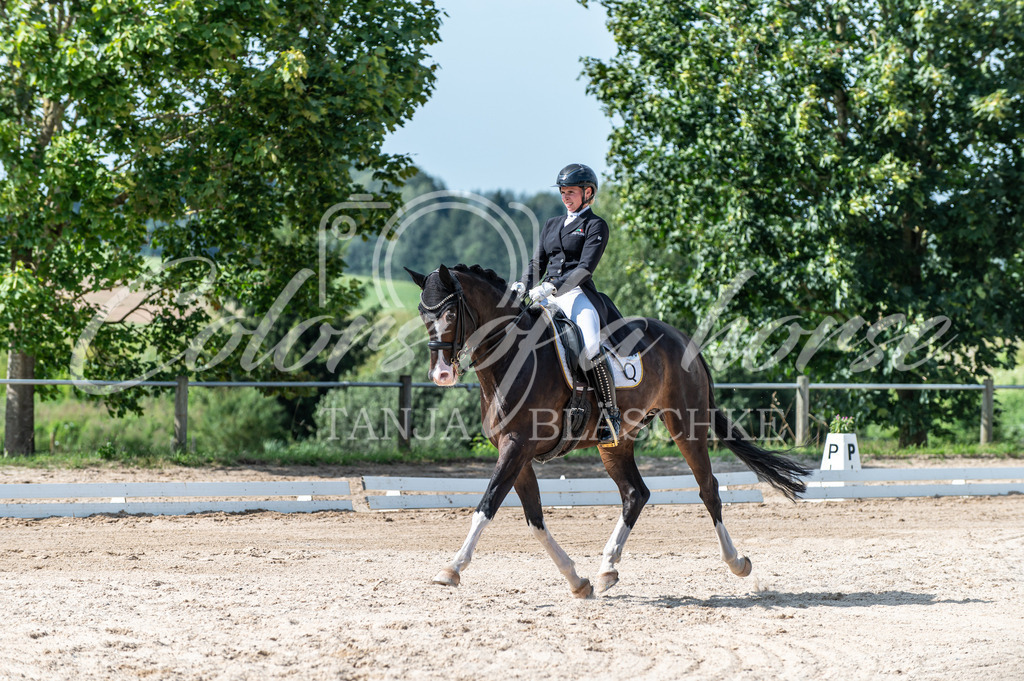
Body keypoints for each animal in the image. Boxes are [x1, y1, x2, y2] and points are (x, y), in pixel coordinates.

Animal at [405, 262, 806, 598]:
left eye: (450, 312)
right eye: (423, 314)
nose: (441, 374)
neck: (514, 359)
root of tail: (682, 338)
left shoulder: (517, 446)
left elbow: (487, 505)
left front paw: (451, 569)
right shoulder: (516, 451)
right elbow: (534, 518)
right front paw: (576, 580)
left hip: (686, 424)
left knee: (708, 489)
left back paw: (737, 563)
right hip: (615, 440)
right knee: (635, 494)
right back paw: (607, 568)